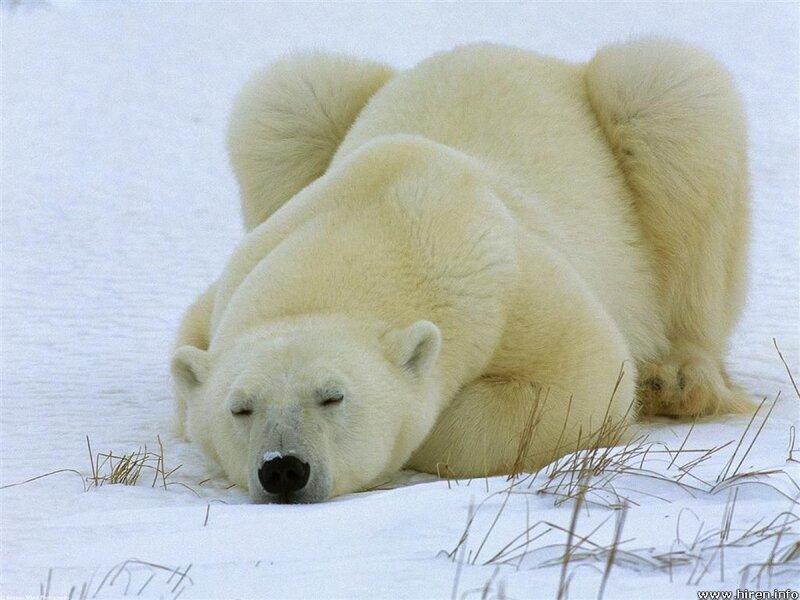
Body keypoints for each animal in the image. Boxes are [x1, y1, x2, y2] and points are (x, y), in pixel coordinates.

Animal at [171, 40, 751, 504]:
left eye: (333, 396)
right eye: (240, 408)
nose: (284, 469)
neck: (380, 214)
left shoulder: (510, 282)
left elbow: (585, 380)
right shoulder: (238, 275)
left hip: (654, 139)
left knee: (672, 104)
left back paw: (676, 379)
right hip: (304, 114)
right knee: (286, 103)